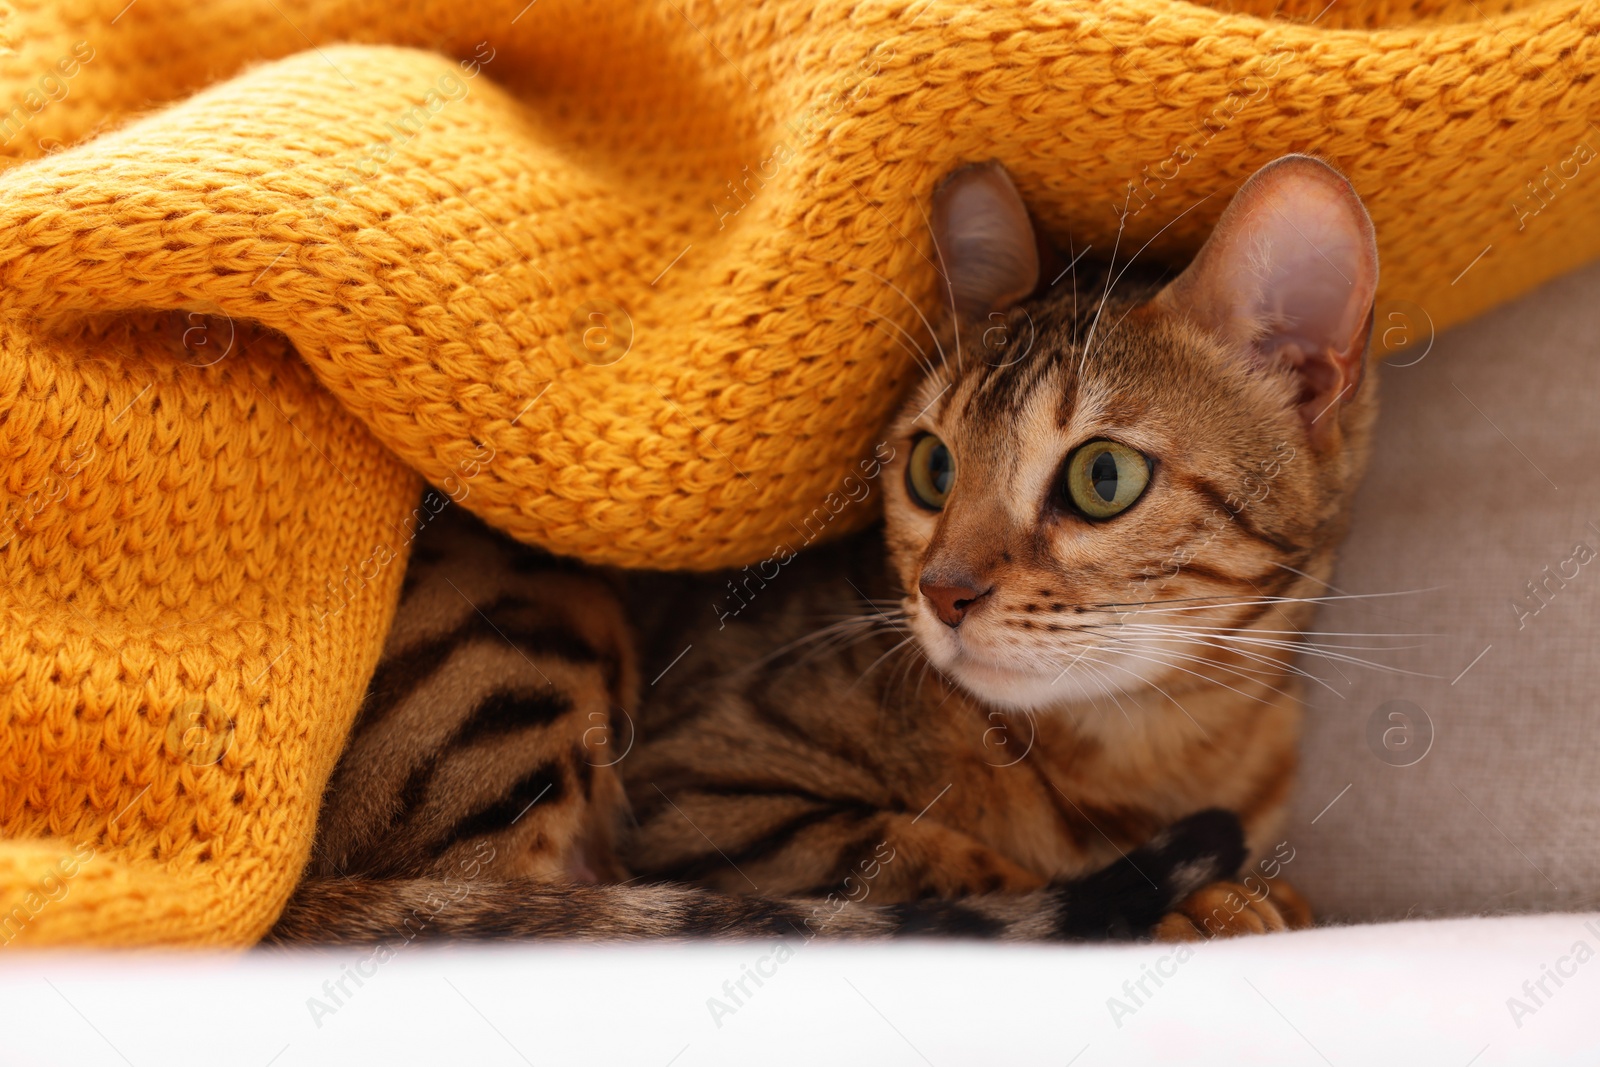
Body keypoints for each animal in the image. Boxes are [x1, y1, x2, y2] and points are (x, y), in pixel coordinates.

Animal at [272, 156, 1376, 940]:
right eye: (932, 466)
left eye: (1102, 478)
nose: (942, 590)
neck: (1152, 747)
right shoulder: (701, 785)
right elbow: (923, 859)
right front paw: (1190, 898)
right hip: (534, 621)